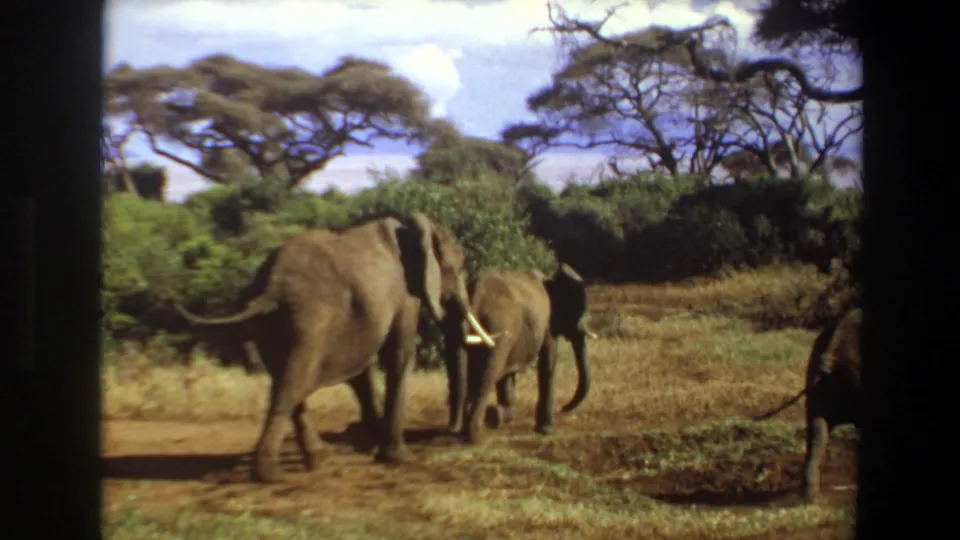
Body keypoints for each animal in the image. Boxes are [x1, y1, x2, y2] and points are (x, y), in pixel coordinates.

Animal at [174, 212, 497, 483]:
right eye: (459, 267)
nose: (451, 433)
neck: (412, 228)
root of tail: (269, 289)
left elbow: (363, 371)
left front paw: (372, 447)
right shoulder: (405, 295)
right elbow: (399, 356)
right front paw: (397, 458)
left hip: (270, 327)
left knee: (287, 382)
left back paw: (317, 460)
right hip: (310, 319)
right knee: (290, 385)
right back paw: (270, 475)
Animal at [440, 263, 597, 445]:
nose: (563, 408)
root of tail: (474, 295)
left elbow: (507, 376)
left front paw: (499, 415)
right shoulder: (548, 323)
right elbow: (548, 364)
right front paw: (546, 431)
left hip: (453, 327)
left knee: (461, 374)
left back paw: (464, 429)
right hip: (498, 327)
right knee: (488, 374)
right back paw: (474, 437)